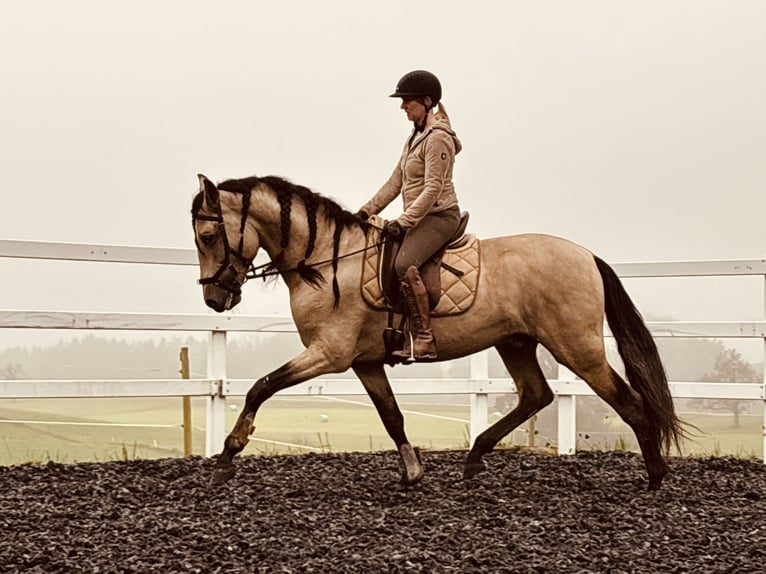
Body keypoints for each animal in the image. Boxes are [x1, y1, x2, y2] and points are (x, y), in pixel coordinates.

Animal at [190, 174, 684, 490]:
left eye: (209, 237)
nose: (214, 300)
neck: (330, 261)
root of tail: (586, 255)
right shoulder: (365, 361)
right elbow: (391, 416)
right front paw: (413, 472)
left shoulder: (329, 353)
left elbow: (261, 386)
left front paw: (228, 457)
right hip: (515, 342)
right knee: (535, 394)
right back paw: (474, 458)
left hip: (576, 348)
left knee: (629, 402)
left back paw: (655, 477)